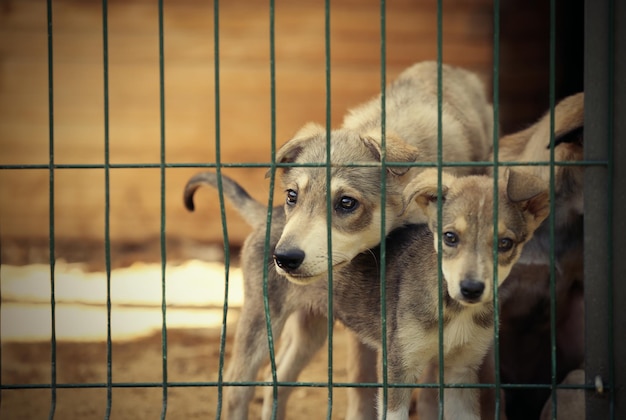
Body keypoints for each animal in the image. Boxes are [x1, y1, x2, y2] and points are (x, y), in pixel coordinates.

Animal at [184, 167, 544, 420]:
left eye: (505, 244)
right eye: (450, 237)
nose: (471, 289)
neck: (453, 307)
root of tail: (272, 216)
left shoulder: (461, 372)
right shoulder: (397, 368)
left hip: (310, 328)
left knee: (278, 385)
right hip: (262, 321)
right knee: (236, 389)